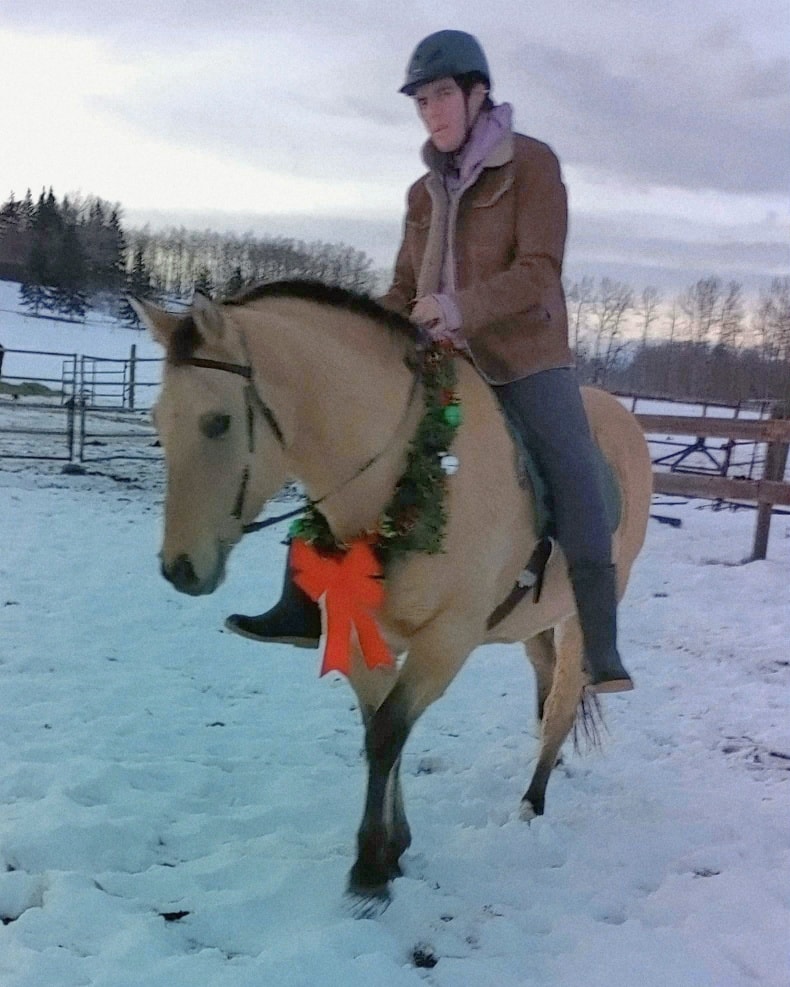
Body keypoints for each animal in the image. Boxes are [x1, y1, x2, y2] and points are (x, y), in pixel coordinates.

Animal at [133, 280, 653, 907]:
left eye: (217, 423)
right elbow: (378, 727)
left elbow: (387, 733)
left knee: (560, 704)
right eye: (158, 421)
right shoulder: (364, 632)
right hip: (531, 623)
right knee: (545, 685)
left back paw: (534, 801)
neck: (411, 470)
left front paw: (371, 868)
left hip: (580, 615)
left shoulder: (446, 641)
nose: (179, 570)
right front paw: (394, 846)